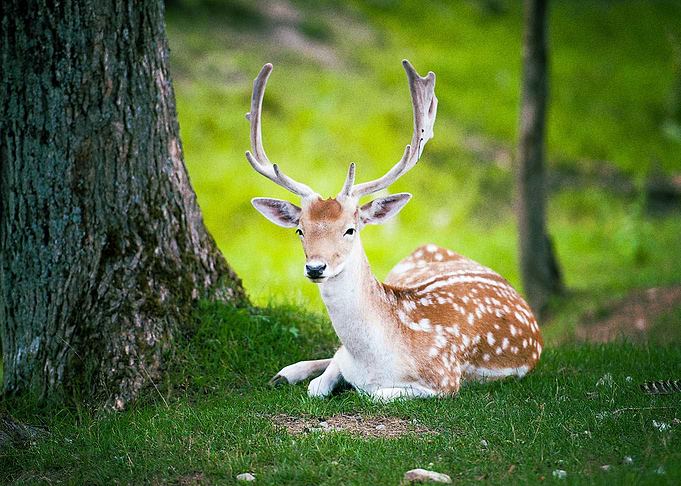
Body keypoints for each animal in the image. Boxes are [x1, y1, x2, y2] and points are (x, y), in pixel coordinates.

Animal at [245, 60, 543, 400]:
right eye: (300, 230)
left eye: (350, 230)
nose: (316, 268)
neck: (374, 360)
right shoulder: (345, 358)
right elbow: (319, 383)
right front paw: (297, 375)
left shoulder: (445, 380)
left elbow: (372, 393)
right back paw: (285, 373)